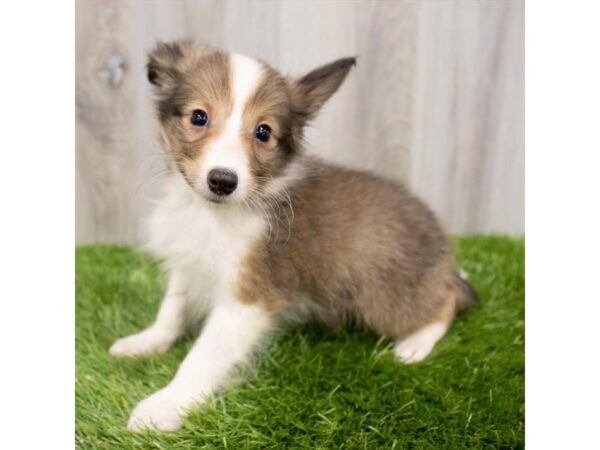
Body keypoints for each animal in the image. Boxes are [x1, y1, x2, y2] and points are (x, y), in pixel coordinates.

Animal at [109, 41, 478, 432]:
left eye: (263, 132)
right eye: (198, 117)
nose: (223, 180)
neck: (212, 214)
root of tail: (444, 257)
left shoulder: (248, 299)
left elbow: (202, 357)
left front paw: (165, 405)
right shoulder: (188, 262)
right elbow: (172, 309)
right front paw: (146, 341)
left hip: (386, 298)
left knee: (447, 301)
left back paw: (416, 342)